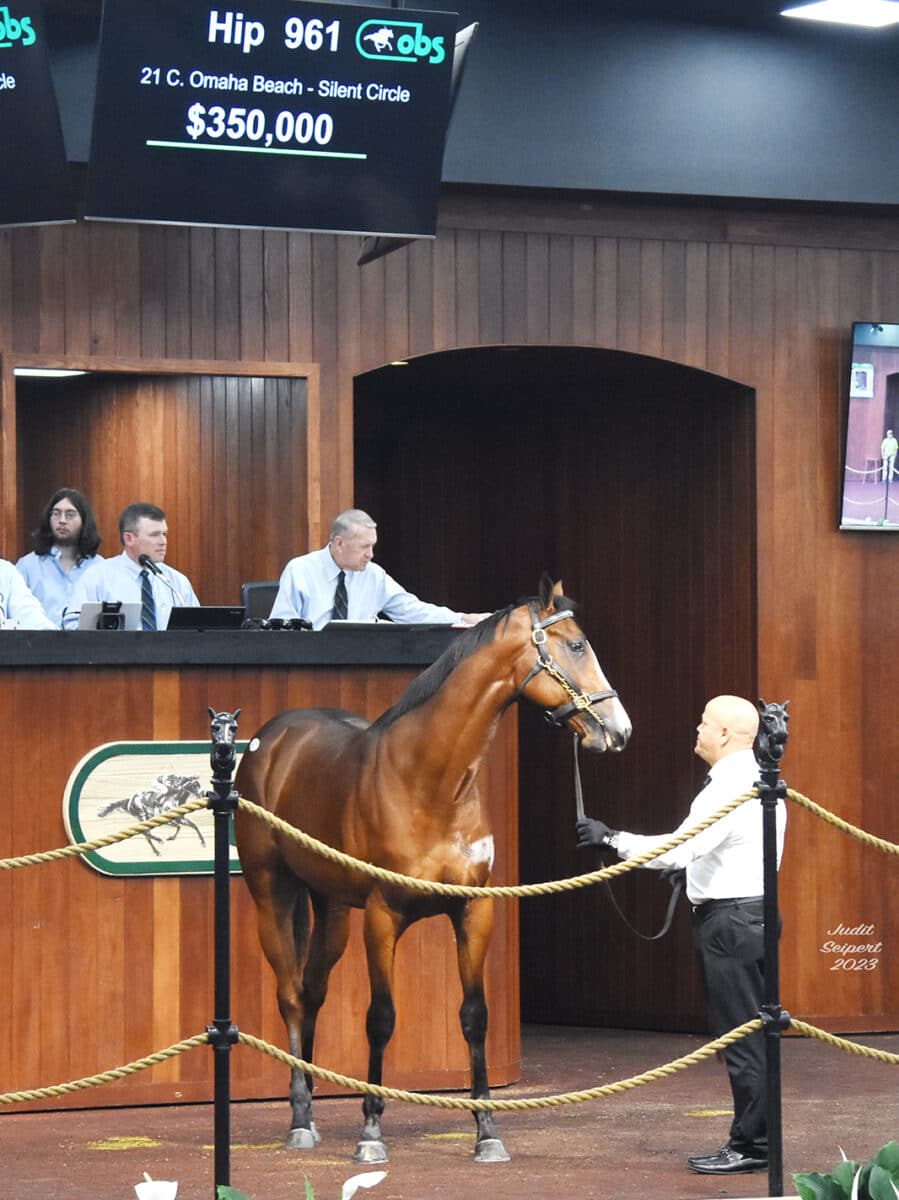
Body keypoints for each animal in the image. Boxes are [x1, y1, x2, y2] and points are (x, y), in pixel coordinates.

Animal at [232, 580, 628, 1161]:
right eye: (577, 646)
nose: (620, 730)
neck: (431, 782)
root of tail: (272, 739)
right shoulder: (382, 916)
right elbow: (381, 1018)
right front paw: (371, 1131)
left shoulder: (474, 911)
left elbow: (474, 1016)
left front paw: (487, 1131)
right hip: (271, 894)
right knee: (288, 995)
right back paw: (301, 1119)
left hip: (331, 909)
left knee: (312, 993)